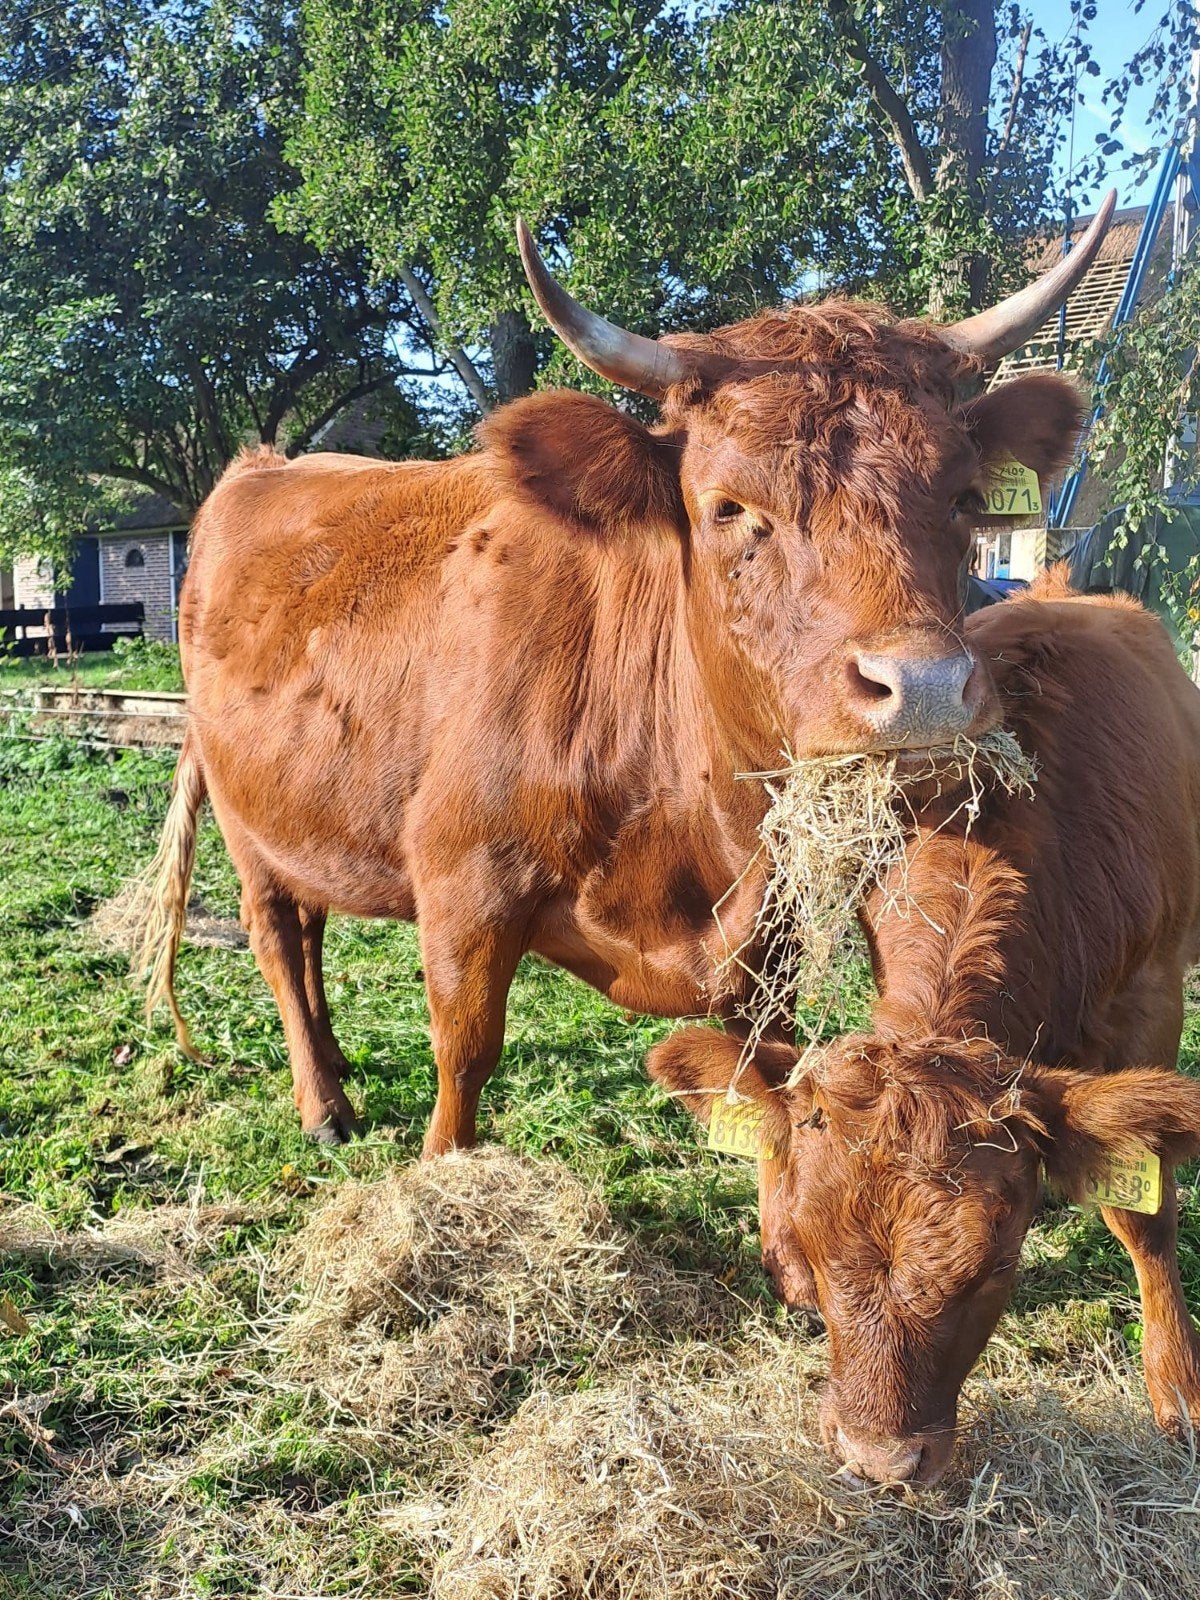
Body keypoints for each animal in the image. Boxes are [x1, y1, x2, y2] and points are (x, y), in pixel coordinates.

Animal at [137, 200, 1116, 1149]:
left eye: (965, 500)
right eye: (728, 508)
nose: (922, 691)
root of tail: (261, 465)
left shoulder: (771, 939)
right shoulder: (462, 888)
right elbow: (464, 1057)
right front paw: (441, 1166)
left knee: (308, 927)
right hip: (242, 818)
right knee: (275, 936)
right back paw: (323, 1105)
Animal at [649, 573, 1200, 1487]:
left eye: (997, 1265)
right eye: (809, 1245)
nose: (880, 1460)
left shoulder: (1153, 1000)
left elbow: (1146, 1214)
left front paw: (1179, 1390)